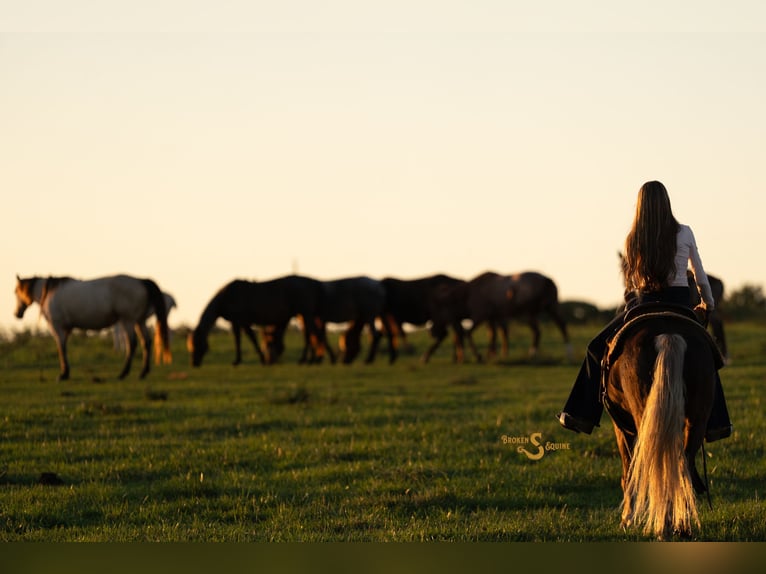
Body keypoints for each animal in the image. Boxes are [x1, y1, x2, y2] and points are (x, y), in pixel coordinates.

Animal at [14, 274, 171, 381]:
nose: (17, 313)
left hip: (128, 320)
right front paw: (65, 372)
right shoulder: (66, 329)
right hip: (139, 321)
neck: (49, 292)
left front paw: (63, 374)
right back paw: (143, 372)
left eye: (15, 291)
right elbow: (63, 348)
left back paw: (123, 373)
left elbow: (61, 348)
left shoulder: (58, 327)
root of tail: (141, 280)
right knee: (146, 342)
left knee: (132, 344)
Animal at [187, 275, 328, 367]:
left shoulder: (239, 321)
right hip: (304, 315)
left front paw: (241, 361)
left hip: (305, 314)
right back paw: (313, 359)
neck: (226, 296)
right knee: (311, 334)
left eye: (197, 344)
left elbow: (245, 339)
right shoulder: (240, 322)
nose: (194, 363)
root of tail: (313, 283)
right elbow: (246, 339)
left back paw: (316, 359)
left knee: (314, 334)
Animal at [603, 306, 721, 539]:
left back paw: (663, 526)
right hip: (697, 420)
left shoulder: (622, 428)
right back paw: (681, 526)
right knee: (683, 465)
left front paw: (627, 519)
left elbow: (629, 471)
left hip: (642, 417)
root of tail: (669, 335)